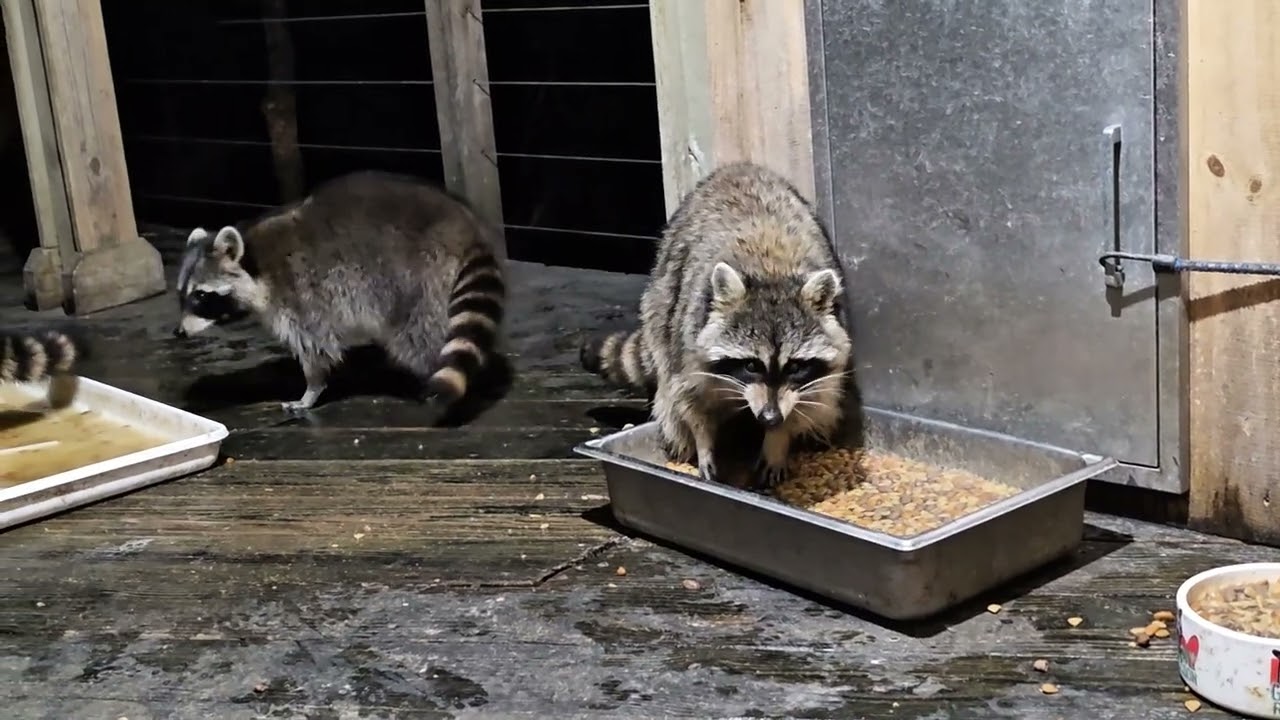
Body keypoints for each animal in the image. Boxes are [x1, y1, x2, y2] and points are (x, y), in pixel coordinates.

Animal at [175, 170, 507, 415]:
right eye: (182, 294)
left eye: (200, 296)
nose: (178, 333)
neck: (256, 262)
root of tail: (464, 227)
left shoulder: (301, 294)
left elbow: (317, 348)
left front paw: (311, 390)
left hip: (417, 277)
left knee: (416, 336)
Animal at [581, 161, 853, 489]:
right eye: (751, 365)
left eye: (796, 367)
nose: (770, 418)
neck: (771, 271)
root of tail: (738, 168)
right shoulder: (688, 343)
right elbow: (691, 401)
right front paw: (704, 444)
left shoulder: (819, 373)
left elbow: (808, 400)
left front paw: (777, 440)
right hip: (663, 300)